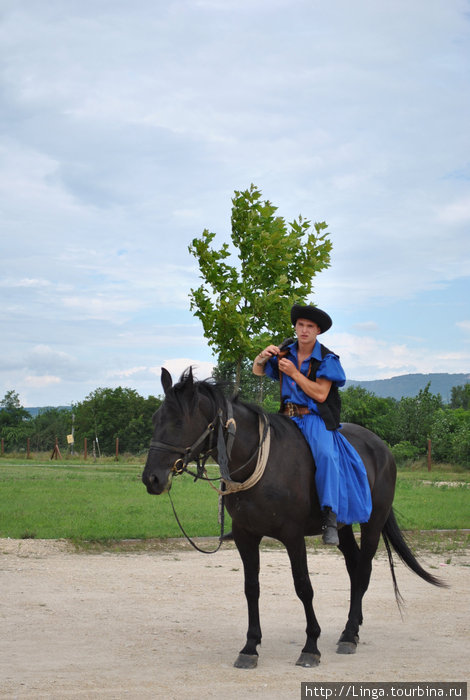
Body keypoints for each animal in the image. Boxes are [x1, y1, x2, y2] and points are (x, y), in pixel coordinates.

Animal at [141, 366, 442, 668]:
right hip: (343, 527)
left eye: (179, 422)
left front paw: (311, 646)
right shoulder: (245, 535)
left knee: (364, 569)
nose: (152, 479)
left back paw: (349, 635)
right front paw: (250, 647)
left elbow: (303, 587)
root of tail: (381, 447)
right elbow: (251, 588)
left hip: (373, 523)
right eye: (155, 419)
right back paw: (351, 629)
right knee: (354, 567)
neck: (259, 462)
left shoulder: (293, 536)